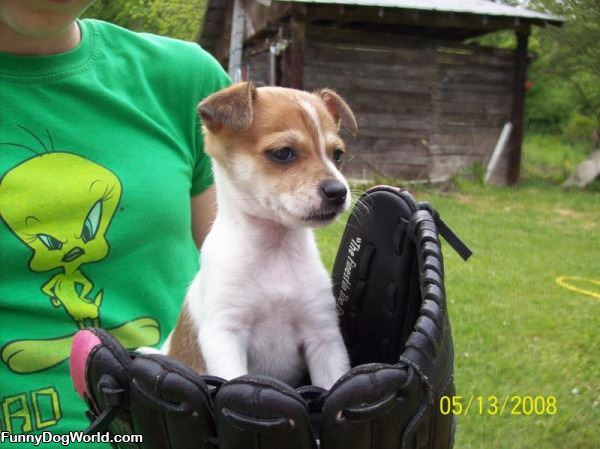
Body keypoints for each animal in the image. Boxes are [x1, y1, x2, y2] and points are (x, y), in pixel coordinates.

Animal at [166, 81, 358, 388]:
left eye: (337, 155)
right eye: (283, 152)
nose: (338, 192)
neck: (276, 250)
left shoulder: (323, 337)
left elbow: (332, 383)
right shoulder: (225, 335)